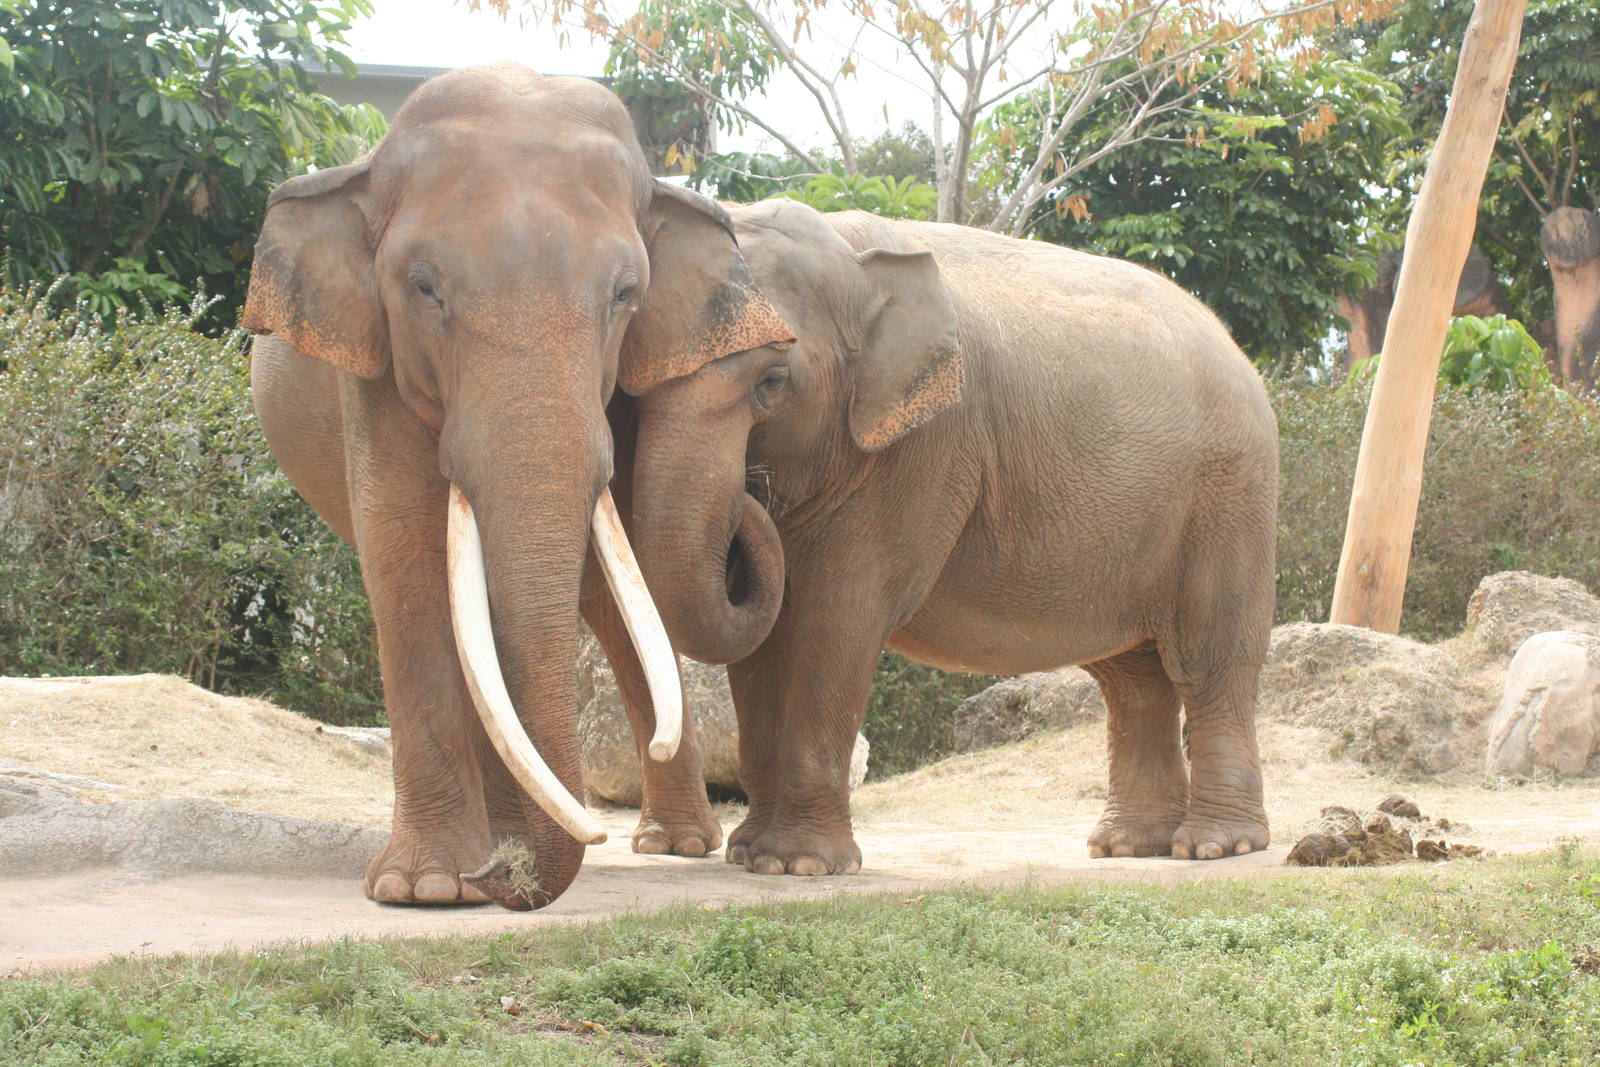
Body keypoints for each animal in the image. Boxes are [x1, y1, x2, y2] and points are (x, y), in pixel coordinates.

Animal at [243, 63, 793, 909]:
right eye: (425, 289)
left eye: (625, 295)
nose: (507, 877)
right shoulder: (375, 362)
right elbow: (404, 558)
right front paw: (425, 887)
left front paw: (478, 868)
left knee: (616, 602)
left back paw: (674, 845)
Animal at [624, 198, 1279, 876]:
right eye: (627, 388)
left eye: (772, 381)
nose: (751, 496)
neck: (856, 265)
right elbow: (763, 643)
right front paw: (750, 856)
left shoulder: (923, 451)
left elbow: (836, 618)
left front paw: (799, 865)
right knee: (1133, 680)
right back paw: (1129, 846)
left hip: (1230, 494)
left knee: (1210, 658)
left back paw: (1214, 846)